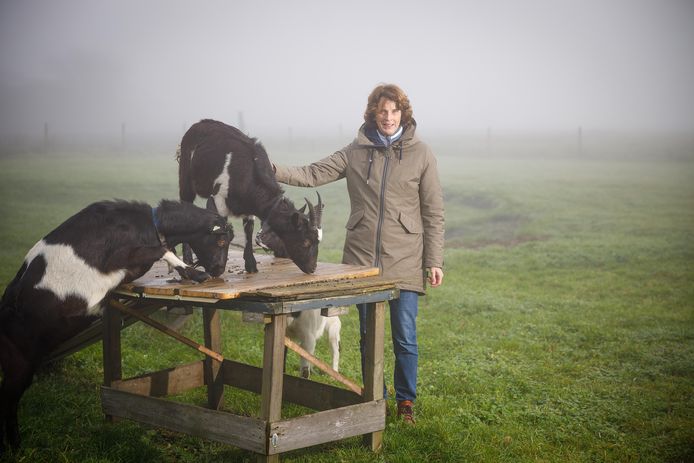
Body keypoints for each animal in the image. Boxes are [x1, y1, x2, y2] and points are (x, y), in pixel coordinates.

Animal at [0, 200, 234, 454]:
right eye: (221, 241)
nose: (219, 269)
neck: (150, 225)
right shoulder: (118, 259)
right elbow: (162, 251)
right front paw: (196, 273)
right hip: (19, 362)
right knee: (8, 400)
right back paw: (16, 446)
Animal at [178, 118, 322, 276]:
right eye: (305, 242)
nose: (312, 268)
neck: (247, 174)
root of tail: (200, 123)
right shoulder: (219, 199)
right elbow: (222, 228)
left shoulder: (249, 205)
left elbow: (249, 229)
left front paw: (251, 266)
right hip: (185, 179)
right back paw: (187, 259)